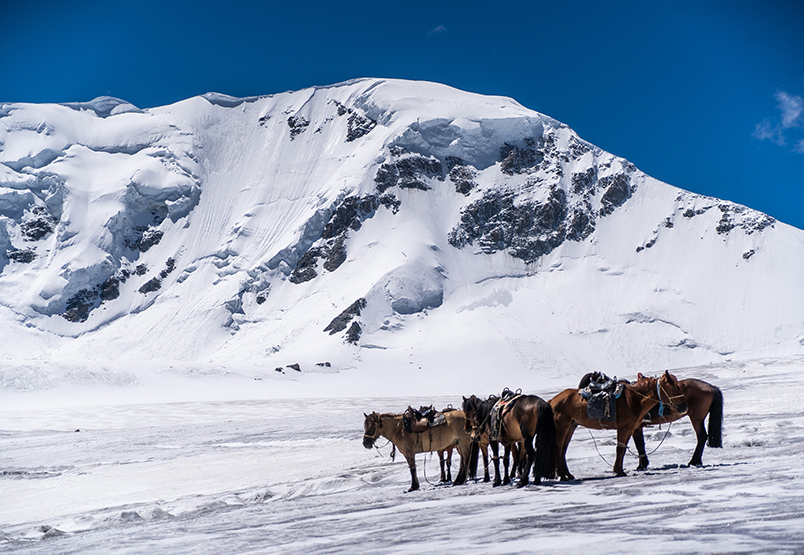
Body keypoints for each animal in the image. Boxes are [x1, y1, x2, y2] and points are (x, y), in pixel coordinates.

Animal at [548, 372, 688, 480]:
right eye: (674, 387)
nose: (684, 407)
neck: (635, 399)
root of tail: (552, 401)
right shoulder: (624, 428)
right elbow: (620, 449)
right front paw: (619, 471)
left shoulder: (631, 428)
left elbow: (624, 448)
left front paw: (619, 469)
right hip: (562, 427)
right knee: (558, 449)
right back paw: (562, 476)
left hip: (570, 427)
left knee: (563, 450)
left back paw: (568, 474)